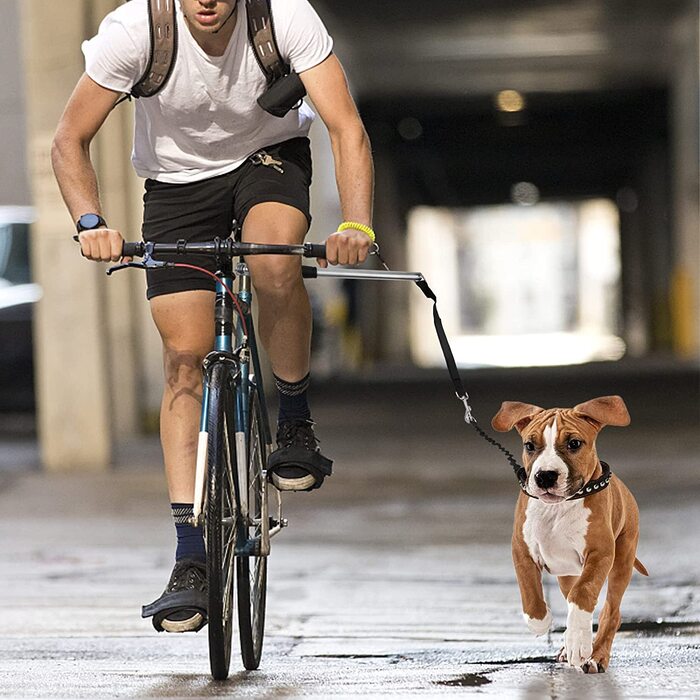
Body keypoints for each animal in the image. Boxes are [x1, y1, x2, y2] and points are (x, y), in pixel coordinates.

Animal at [490, 394, 648, 672]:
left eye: (574, 443)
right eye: (530, 445)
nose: (545, 476)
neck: (557, 508)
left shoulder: (600, 553)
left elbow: (583, 593)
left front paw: (577, 642)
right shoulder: (521, 549)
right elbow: (529, 590)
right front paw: (541, 622)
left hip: (622, 560)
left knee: (611, 612)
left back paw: (596, 656)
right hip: (567, 574)